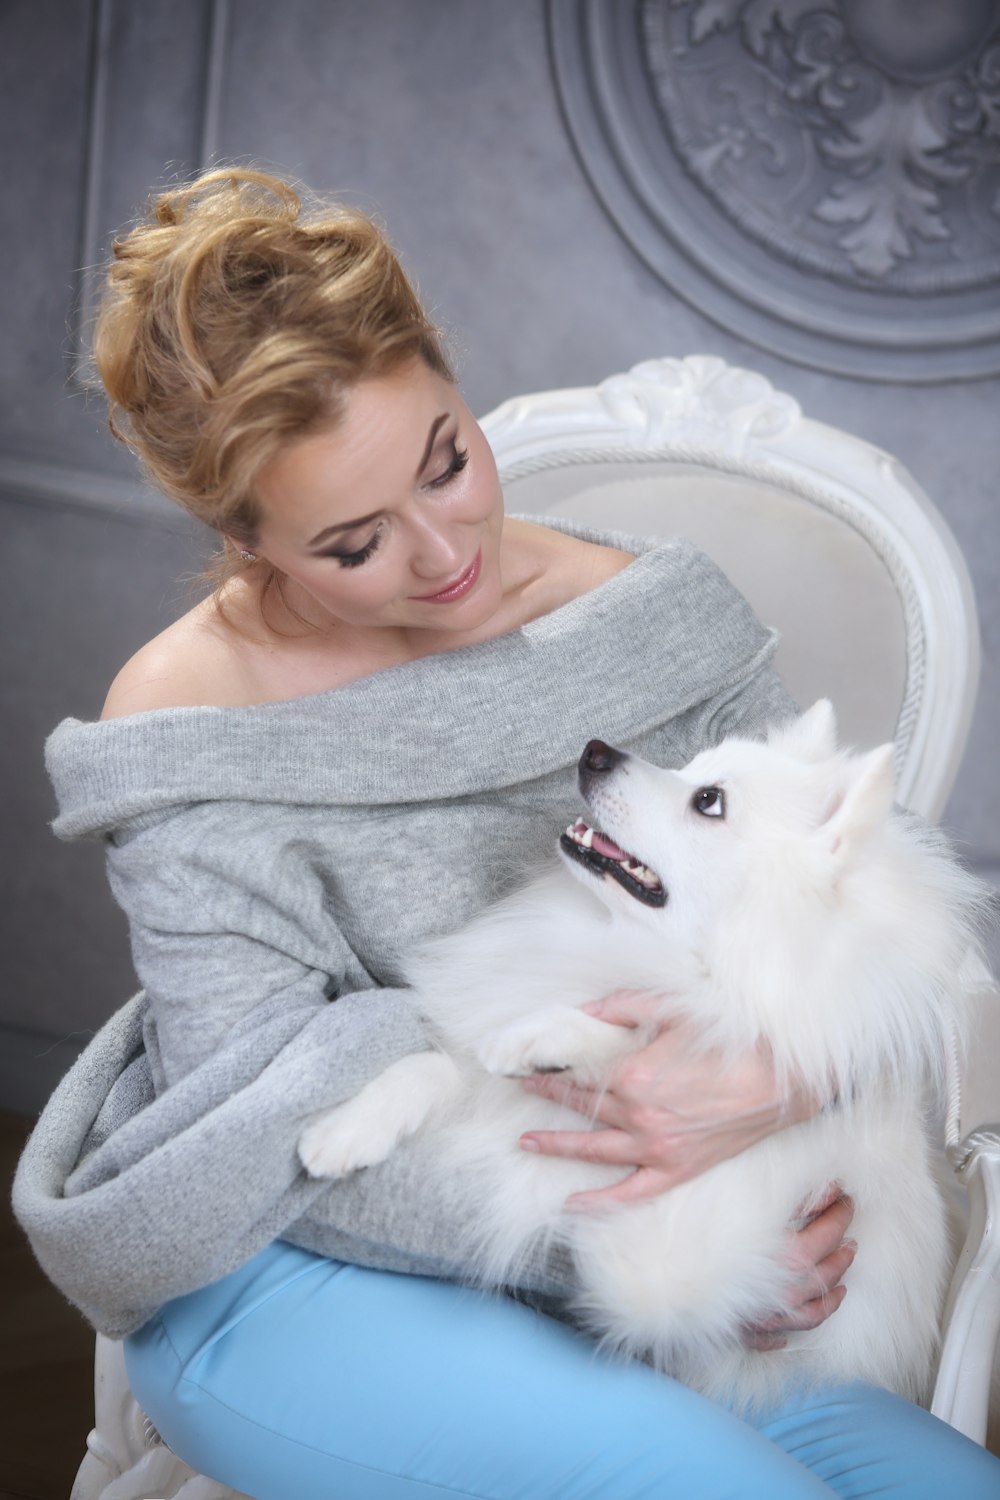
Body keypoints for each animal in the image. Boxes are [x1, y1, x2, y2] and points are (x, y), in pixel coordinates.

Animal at [296, 699, 983, 1404]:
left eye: (708, 801)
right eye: (692, 764)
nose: (595, 751)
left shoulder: (677, 1262)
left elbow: (645, 1036)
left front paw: (553, 1038)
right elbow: (435, 1066)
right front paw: (345, 1131)